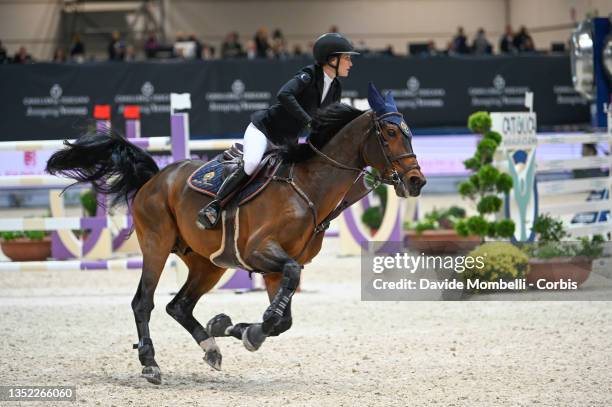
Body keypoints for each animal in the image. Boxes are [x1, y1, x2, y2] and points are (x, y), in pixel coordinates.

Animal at [45, 83, 426, 386]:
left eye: (409, 133)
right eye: (390, 134)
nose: (416, 181)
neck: (308, 189)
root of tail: (156, 177)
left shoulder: (276, 266)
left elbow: (284, 318)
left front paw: (233, 328)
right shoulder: (261, 251)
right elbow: (284, 296)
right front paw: (253, 330)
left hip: (208, 264)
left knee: (178, 305)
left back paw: (211, 346)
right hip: (156, 245)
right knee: (144, 302)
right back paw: (150, 364)